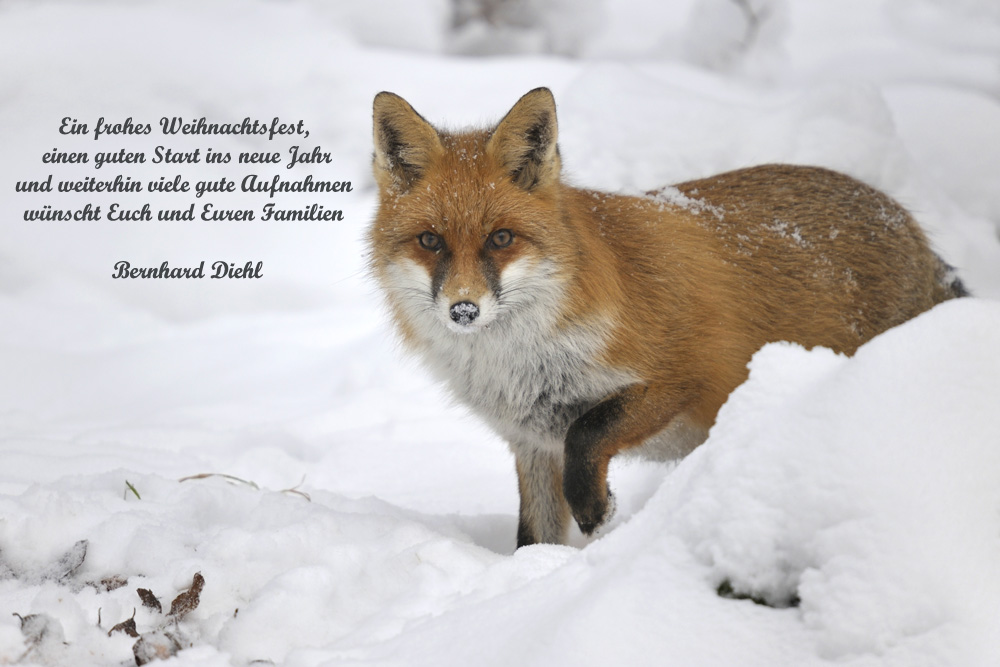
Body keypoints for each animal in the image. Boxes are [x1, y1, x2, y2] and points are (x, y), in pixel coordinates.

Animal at [368, 87, 968, 548]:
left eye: (500, 239)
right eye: (430, 241)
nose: (464, 309)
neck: (523, 362)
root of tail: (910, 228)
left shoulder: (681, 378)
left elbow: (587, 434)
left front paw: (598, 512)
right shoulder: (532, 442)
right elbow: (533, 538)